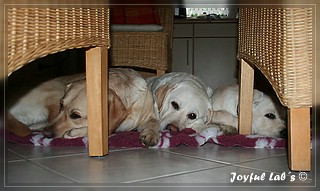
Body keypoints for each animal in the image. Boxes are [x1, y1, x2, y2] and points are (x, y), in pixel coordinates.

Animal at [8, 68, 160, 146]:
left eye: (75, 115)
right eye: (61, 105)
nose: (46, 134)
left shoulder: (150, 116)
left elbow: (154, 123)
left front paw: (150, 135)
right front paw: (75, 133)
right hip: (56, 91)